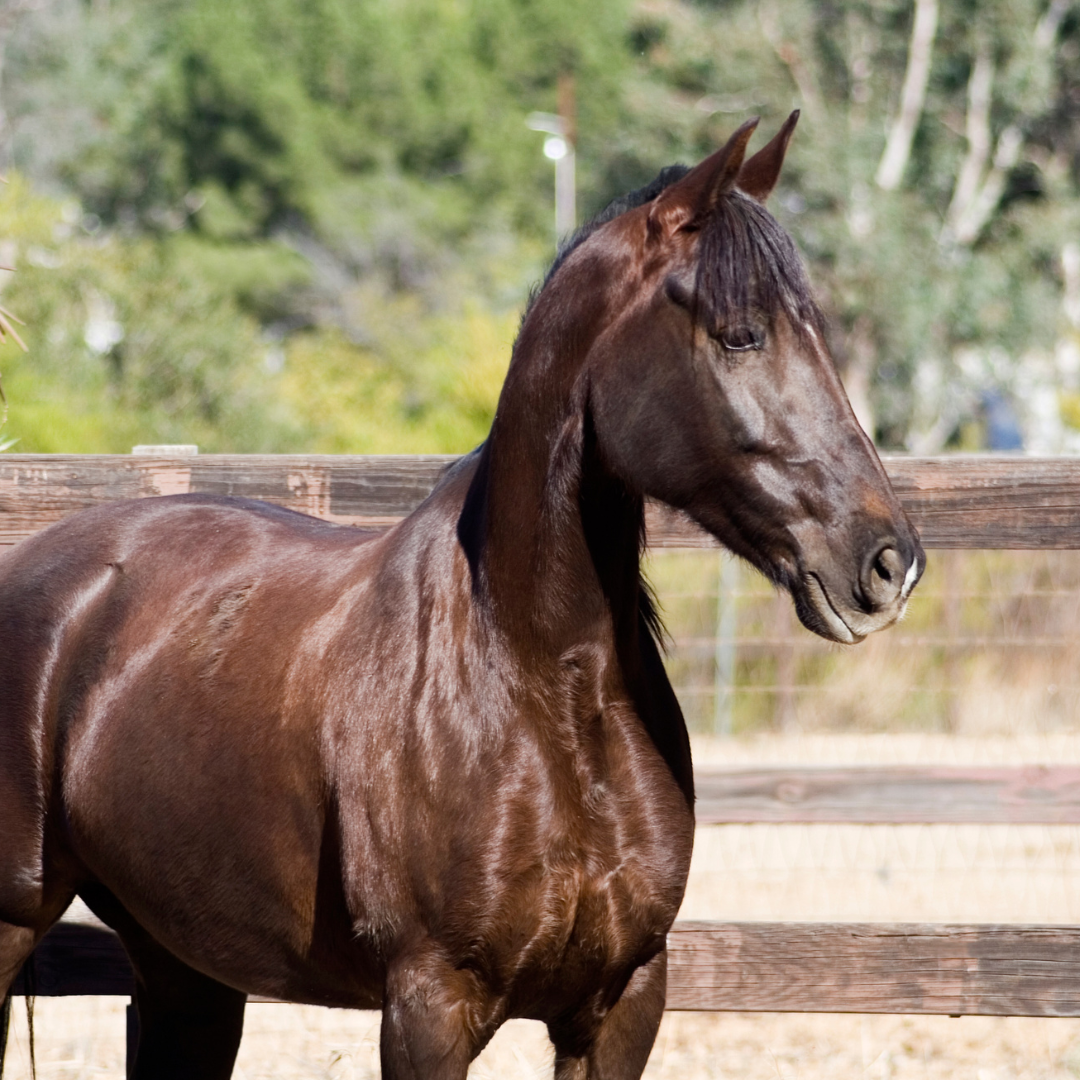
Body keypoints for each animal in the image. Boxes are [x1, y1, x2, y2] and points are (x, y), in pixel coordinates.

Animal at [0, 114, 923, 1080]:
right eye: (740, 334)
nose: (887, 563)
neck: (537, 682)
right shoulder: (429, 1004)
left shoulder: (622, 1003)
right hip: (12, 922)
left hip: (188, 970)